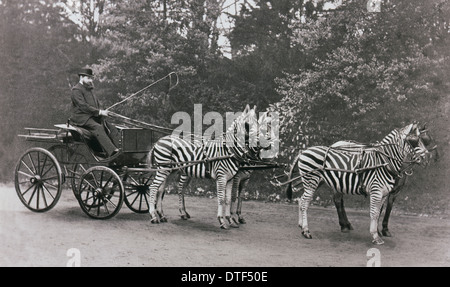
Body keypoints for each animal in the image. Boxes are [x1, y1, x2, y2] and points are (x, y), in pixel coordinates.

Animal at [286, 124, 430, 245]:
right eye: (413, 141)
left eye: (426, 141)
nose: (427, 159)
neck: (385, 162)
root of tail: (303, 151)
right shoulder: (376, 191)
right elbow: (374, 213)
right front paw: (375, 236)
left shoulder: (385, 193)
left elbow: (379, 212)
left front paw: (378, 232)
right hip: (311, 180)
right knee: (305, 202)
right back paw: (306, 231)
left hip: (316, 181)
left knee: (301, 200)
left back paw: (302, 225)